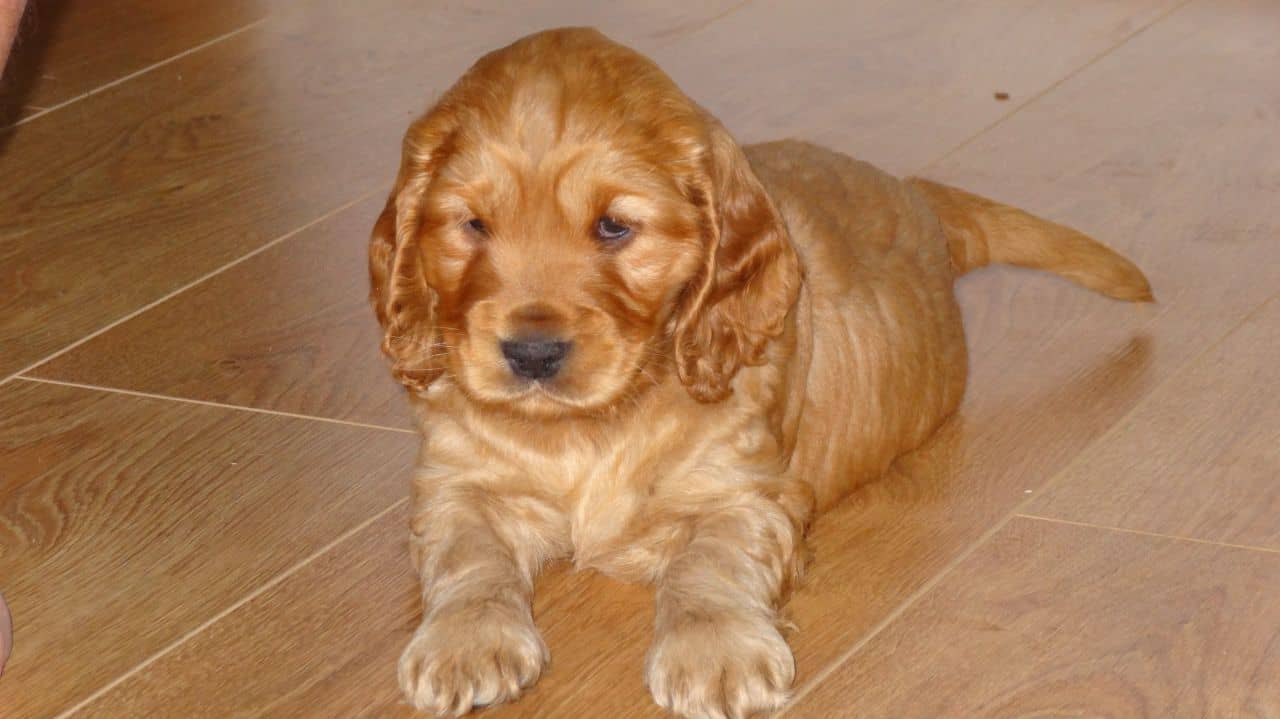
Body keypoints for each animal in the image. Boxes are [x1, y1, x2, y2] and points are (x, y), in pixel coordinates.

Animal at [368, 26, 1152, 716]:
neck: (592, 424)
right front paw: (466, 642)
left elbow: (710, 561)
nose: (531, 355)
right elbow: (469, 554)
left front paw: (715, 655)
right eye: (472, 225)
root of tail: (919, 197)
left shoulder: (747, 490)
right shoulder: (456, 480)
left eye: (615, 227)